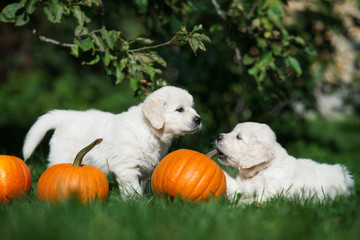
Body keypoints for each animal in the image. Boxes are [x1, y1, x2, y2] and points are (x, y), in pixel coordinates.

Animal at [23, 86, 201, 197]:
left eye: (192, 107)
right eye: (179, 109)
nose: (198, 119)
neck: (149, 130)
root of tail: (65, 116)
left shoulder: (145, 169)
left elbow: (142, 186)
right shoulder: (127, 167)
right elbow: (133, 189)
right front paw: (135, 203)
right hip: (62, 157)